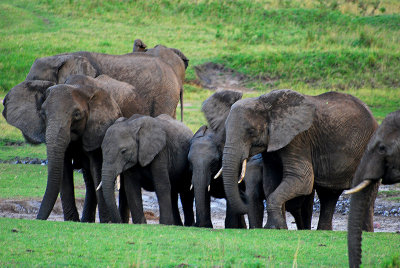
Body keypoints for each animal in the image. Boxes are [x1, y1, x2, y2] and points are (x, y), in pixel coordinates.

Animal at [219, 89, 378, 230]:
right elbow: (271, 182)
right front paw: (276, 228)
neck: (265, 102)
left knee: (366, 193)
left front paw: (274, 228)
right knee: (329, 194)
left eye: (251, 131)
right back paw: (324, 230)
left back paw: (366, 232)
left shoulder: (298, 139)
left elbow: (302, 179)